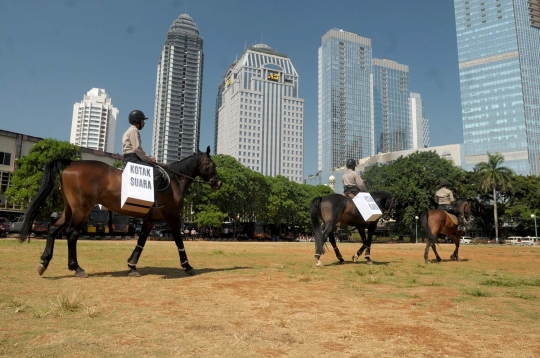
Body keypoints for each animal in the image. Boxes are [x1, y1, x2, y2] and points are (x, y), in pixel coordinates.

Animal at [18, 145, 221, 276]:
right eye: (211, 165)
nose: (218, 183)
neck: (175, 179)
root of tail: (71, 164)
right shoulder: (173, 216)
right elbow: (179, 240)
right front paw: (187, 266)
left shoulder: (149, 220)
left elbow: (141, 242)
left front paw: (132, 265)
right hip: (82, 210)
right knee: (72, 234)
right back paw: (76, 268)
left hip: (70, 209)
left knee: (53, 228)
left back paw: (43, 262)